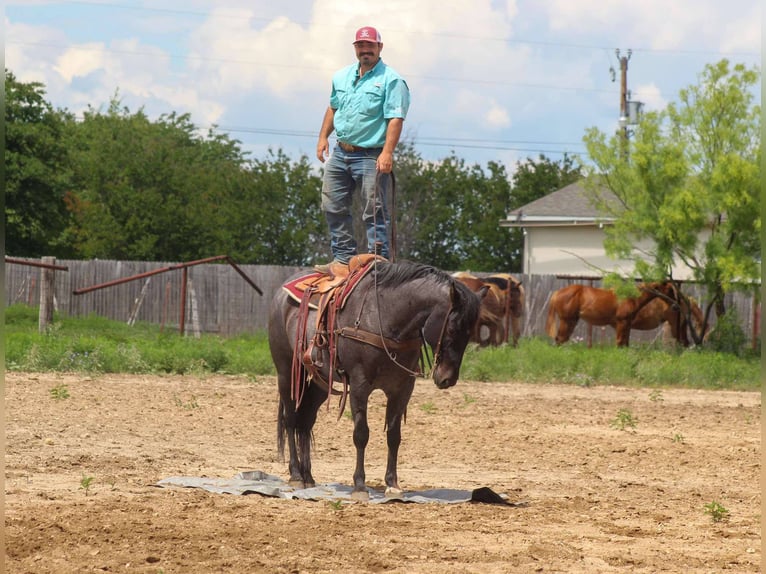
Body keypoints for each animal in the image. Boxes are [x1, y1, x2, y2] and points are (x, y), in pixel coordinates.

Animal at [269, 259, 485, 500]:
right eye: (453, 328)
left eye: (470, 333)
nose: (447, 378)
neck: (386, 319)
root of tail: (280, 294)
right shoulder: (359, 385)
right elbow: (361, 434)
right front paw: (360, 486)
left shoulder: (402, 388)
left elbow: (394, 435)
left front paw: (393, 485)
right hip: (286, 373)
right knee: (291, 420)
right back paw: (296, 475)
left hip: (318, 383)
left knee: (305, 423)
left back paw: (308, 477)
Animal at [545, 281, 680, 347]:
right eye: (669, 290)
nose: (676, 306)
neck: (630, 297)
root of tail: (557, 293)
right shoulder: (622, 323)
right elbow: (620, 342)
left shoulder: (627, 325)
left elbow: (625, 343)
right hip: (567, 321)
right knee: (560, 339)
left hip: (572, 321)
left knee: (561, 339)